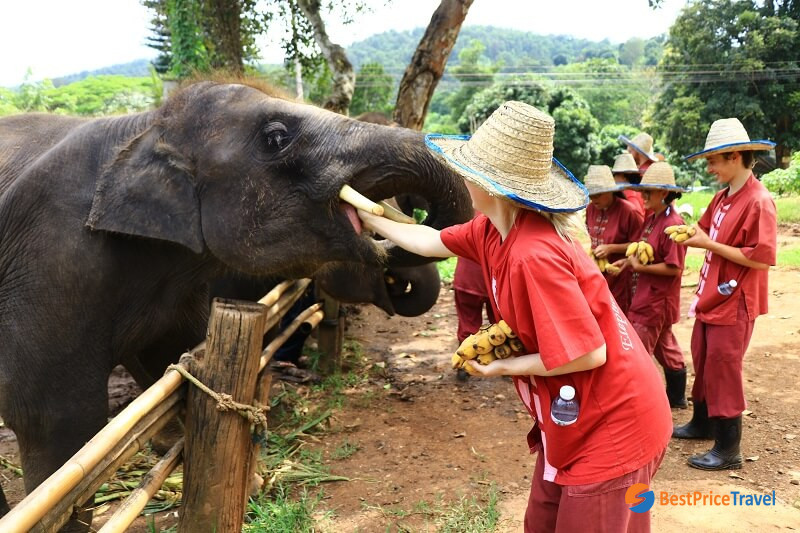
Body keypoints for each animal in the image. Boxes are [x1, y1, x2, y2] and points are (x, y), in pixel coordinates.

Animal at [0, 80, 472, 531]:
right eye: (276, 137)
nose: (409, 211)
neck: (144, 126)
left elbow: (175, 363)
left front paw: (250, 477)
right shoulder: (51, 263)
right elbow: (57, 420)